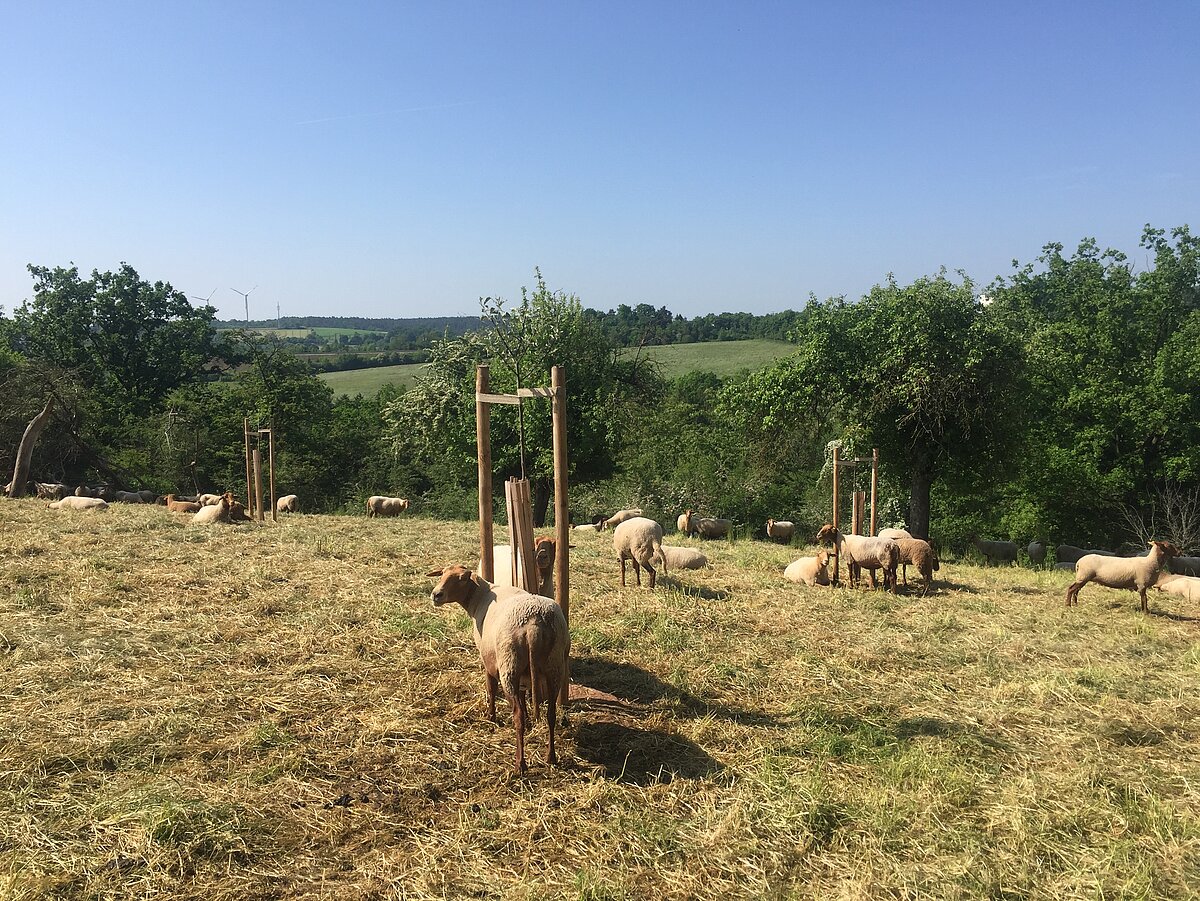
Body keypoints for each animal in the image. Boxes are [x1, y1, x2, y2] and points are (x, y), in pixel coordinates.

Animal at [428, 564, 569, 774]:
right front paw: (529, 719)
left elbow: (491, 689)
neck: (479, 598)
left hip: (509, 664)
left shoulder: (488, 660)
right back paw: (551, 757)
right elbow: (523, 695)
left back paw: (520, 763)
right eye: (442, 574)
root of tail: (534, 624)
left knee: (517, 716)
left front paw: (491, 717)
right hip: (553, 666)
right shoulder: (523, 674)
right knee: (551, 714)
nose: (436, 595)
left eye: (462, 578)